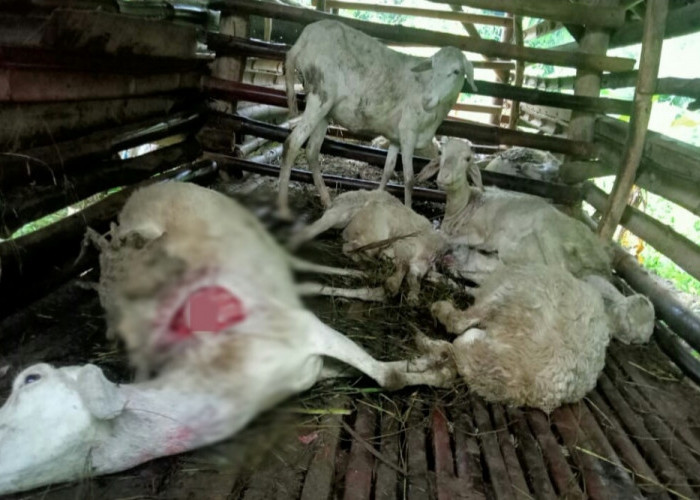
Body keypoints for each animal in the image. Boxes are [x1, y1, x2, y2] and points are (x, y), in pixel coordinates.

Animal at [0, 182, 454, 494]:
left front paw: (441, 367)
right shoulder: (314, 367)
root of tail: (150, 188)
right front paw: (431, 362)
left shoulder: (306, 328)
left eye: (31, 378)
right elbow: (382, 373)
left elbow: (384, 375)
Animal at [416, 139, 656, 346]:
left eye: (467, 158)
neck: (466, 206)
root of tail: (601, 254)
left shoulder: (479, 233)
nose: (444, 178)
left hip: (546, 227)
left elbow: (448, 237)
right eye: (441, 153)